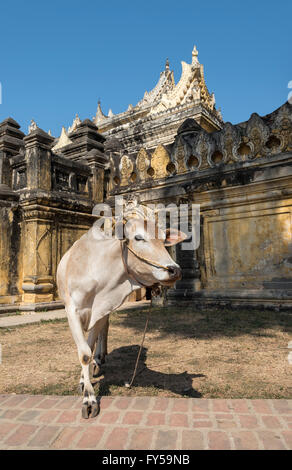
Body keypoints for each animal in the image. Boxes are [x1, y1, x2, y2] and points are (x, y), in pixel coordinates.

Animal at [56, 204, 186, 416]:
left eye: (163, 240)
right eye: (138, 238)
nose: (175, 270)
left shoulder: (100, 309)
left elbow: (90, 346)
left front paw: (86, 380)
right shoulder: (71, 310)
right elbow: (83, 353)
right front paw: (88, 398)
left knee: (103, 331)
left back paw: (99, 359)